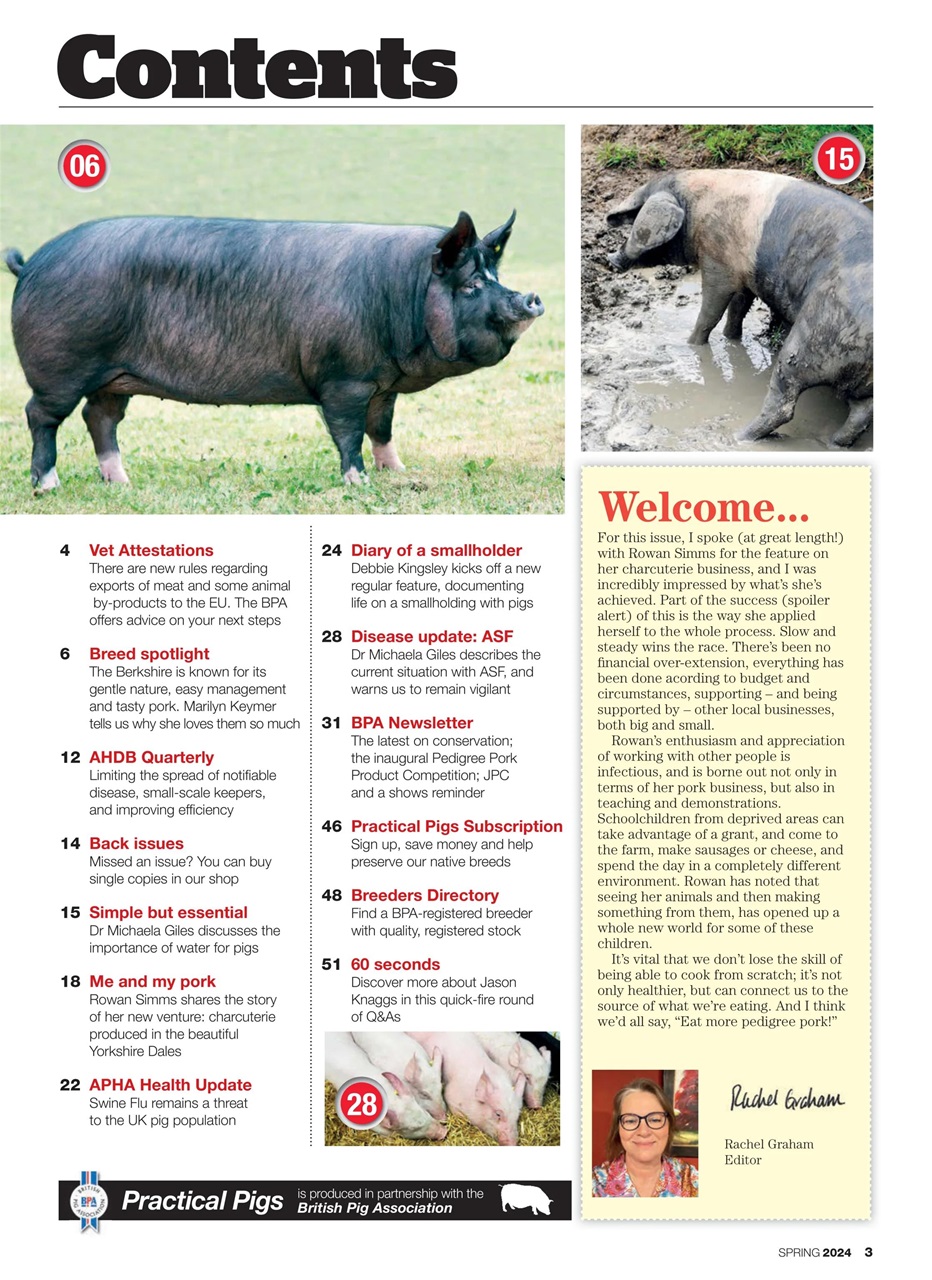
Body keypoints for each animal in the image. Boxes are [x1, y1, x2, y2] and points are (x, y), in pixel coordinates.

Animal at [4, 210, 543, 491]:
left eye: (495, 276)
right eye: (471, 284)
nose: (531, 298)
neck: (398, 292)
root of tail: (32, 263)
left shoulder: (381, 384)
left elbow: (382, 428)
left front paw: (399, 474)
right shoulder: (343, 378)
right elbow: (347, 432)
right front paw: (358, 484)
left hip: (113, 377)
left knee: (100, 418)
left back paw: (121, 482)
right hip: (61, 366)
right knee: (41, 416)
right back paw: (48, 485)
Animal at [605, 170, 872, 447]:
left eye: (637, 222)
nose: (610, 259)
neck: (695, 209)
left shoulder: (718, 262)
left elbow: (710, 312)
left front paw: (691, 344)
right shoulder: (745, 276)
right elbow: (737, 310)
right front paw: (730, 338)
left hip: (812, 338)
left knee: (784, 403)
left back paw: (740, 437)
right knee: (861, 414)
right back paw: (834, 443)